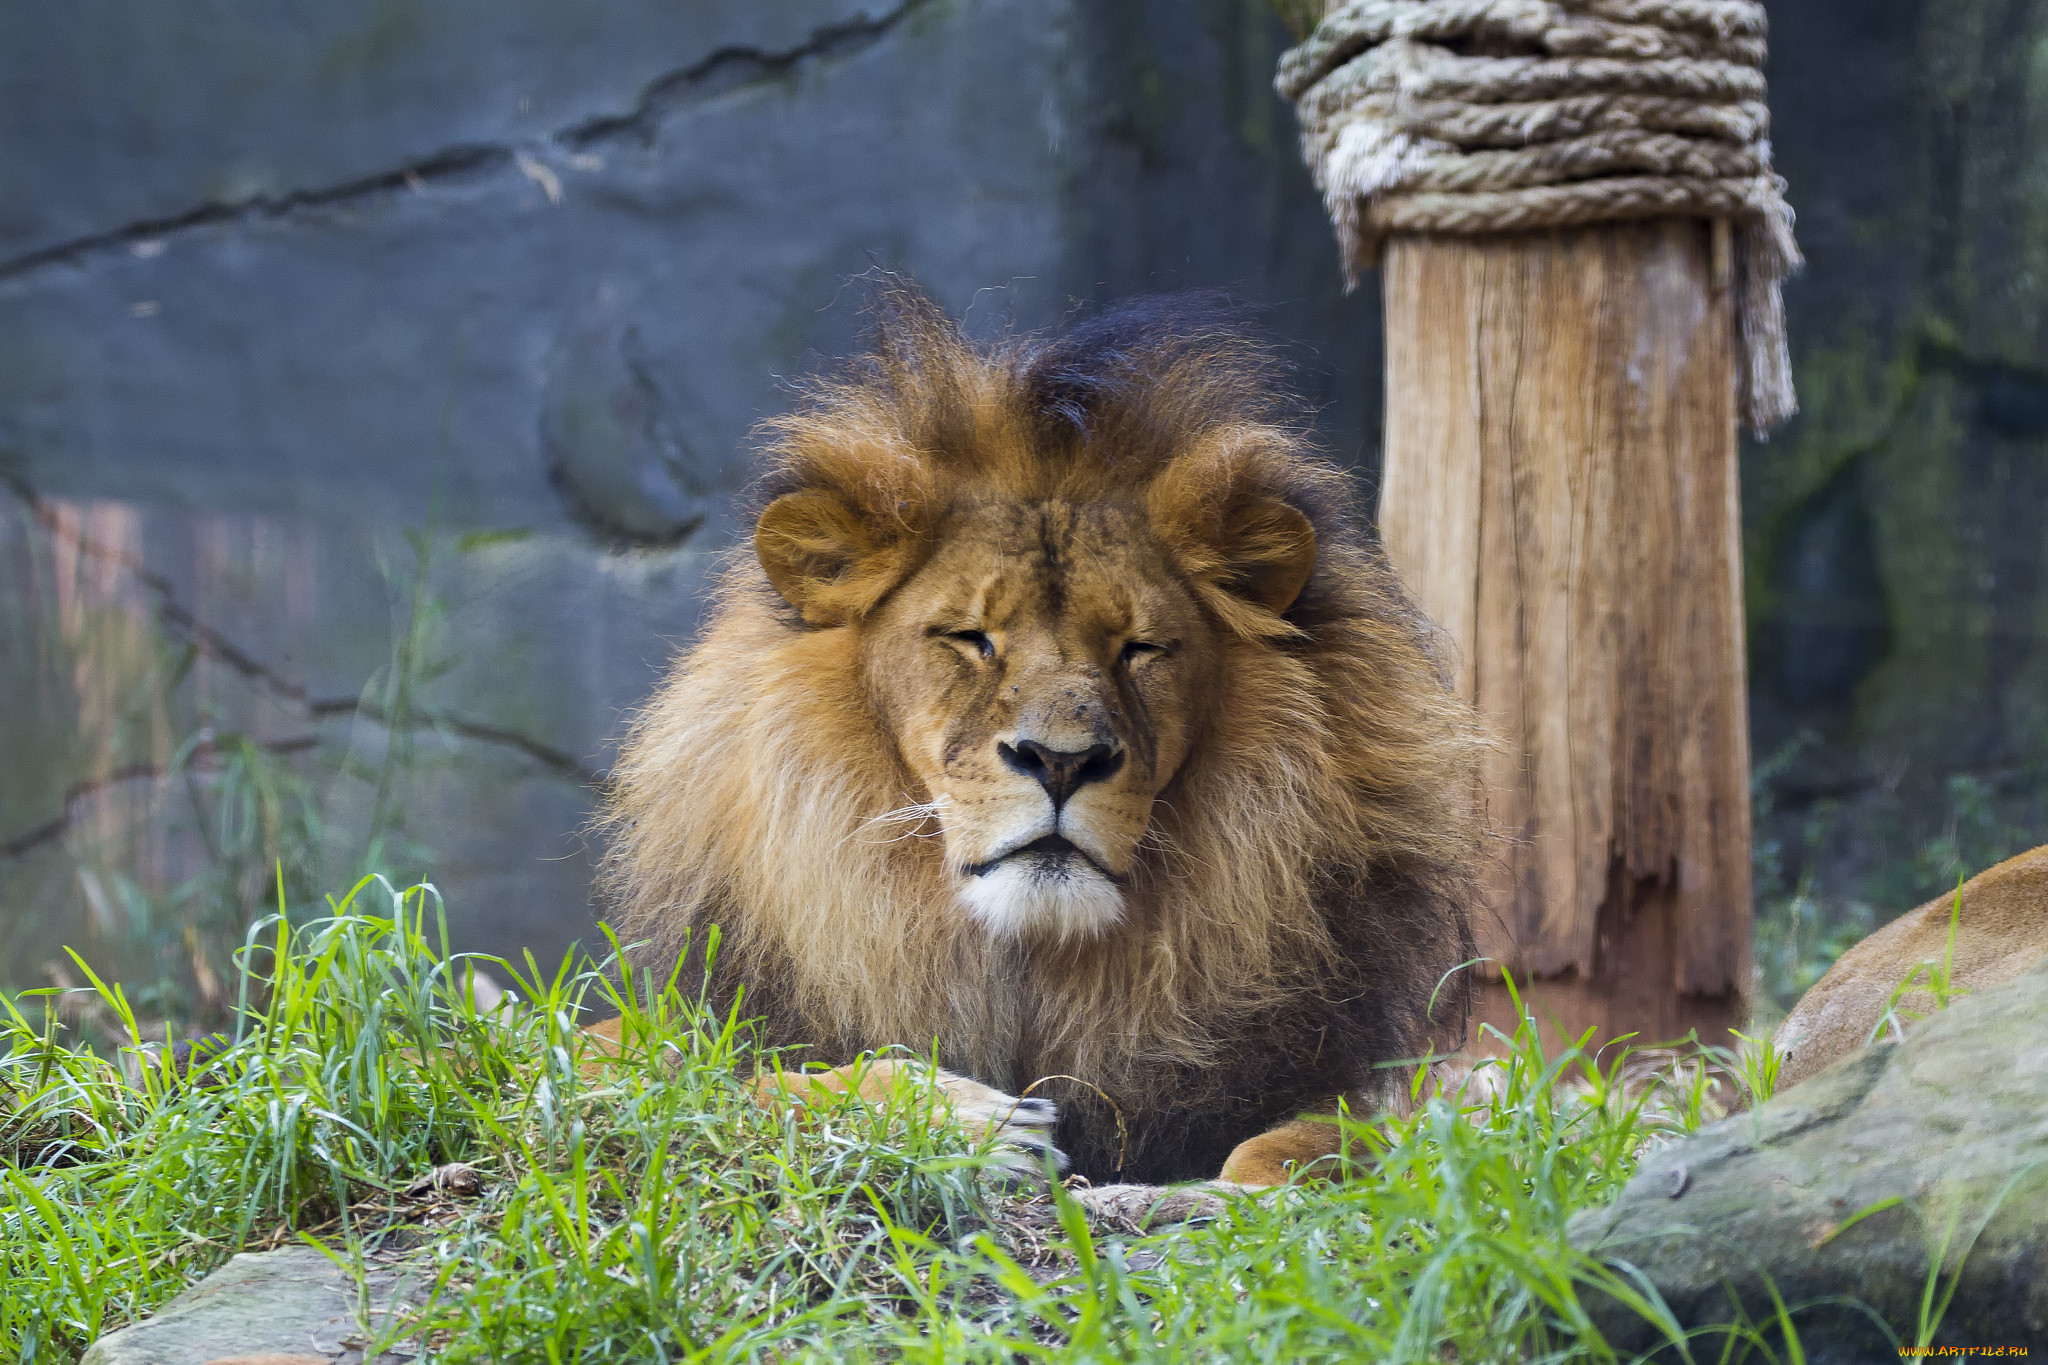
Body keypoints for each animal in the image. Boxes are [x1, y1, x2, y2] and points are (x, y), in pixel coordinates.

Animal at [585, 286, 1482, 1186]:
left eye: (1140, 648)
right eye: (971, 638)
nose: (1060, 760)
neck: (1025, 971)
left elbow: (1359, 1138)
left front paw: (1264, 1185)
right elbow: (715, 1080)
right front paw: (965, 1118)